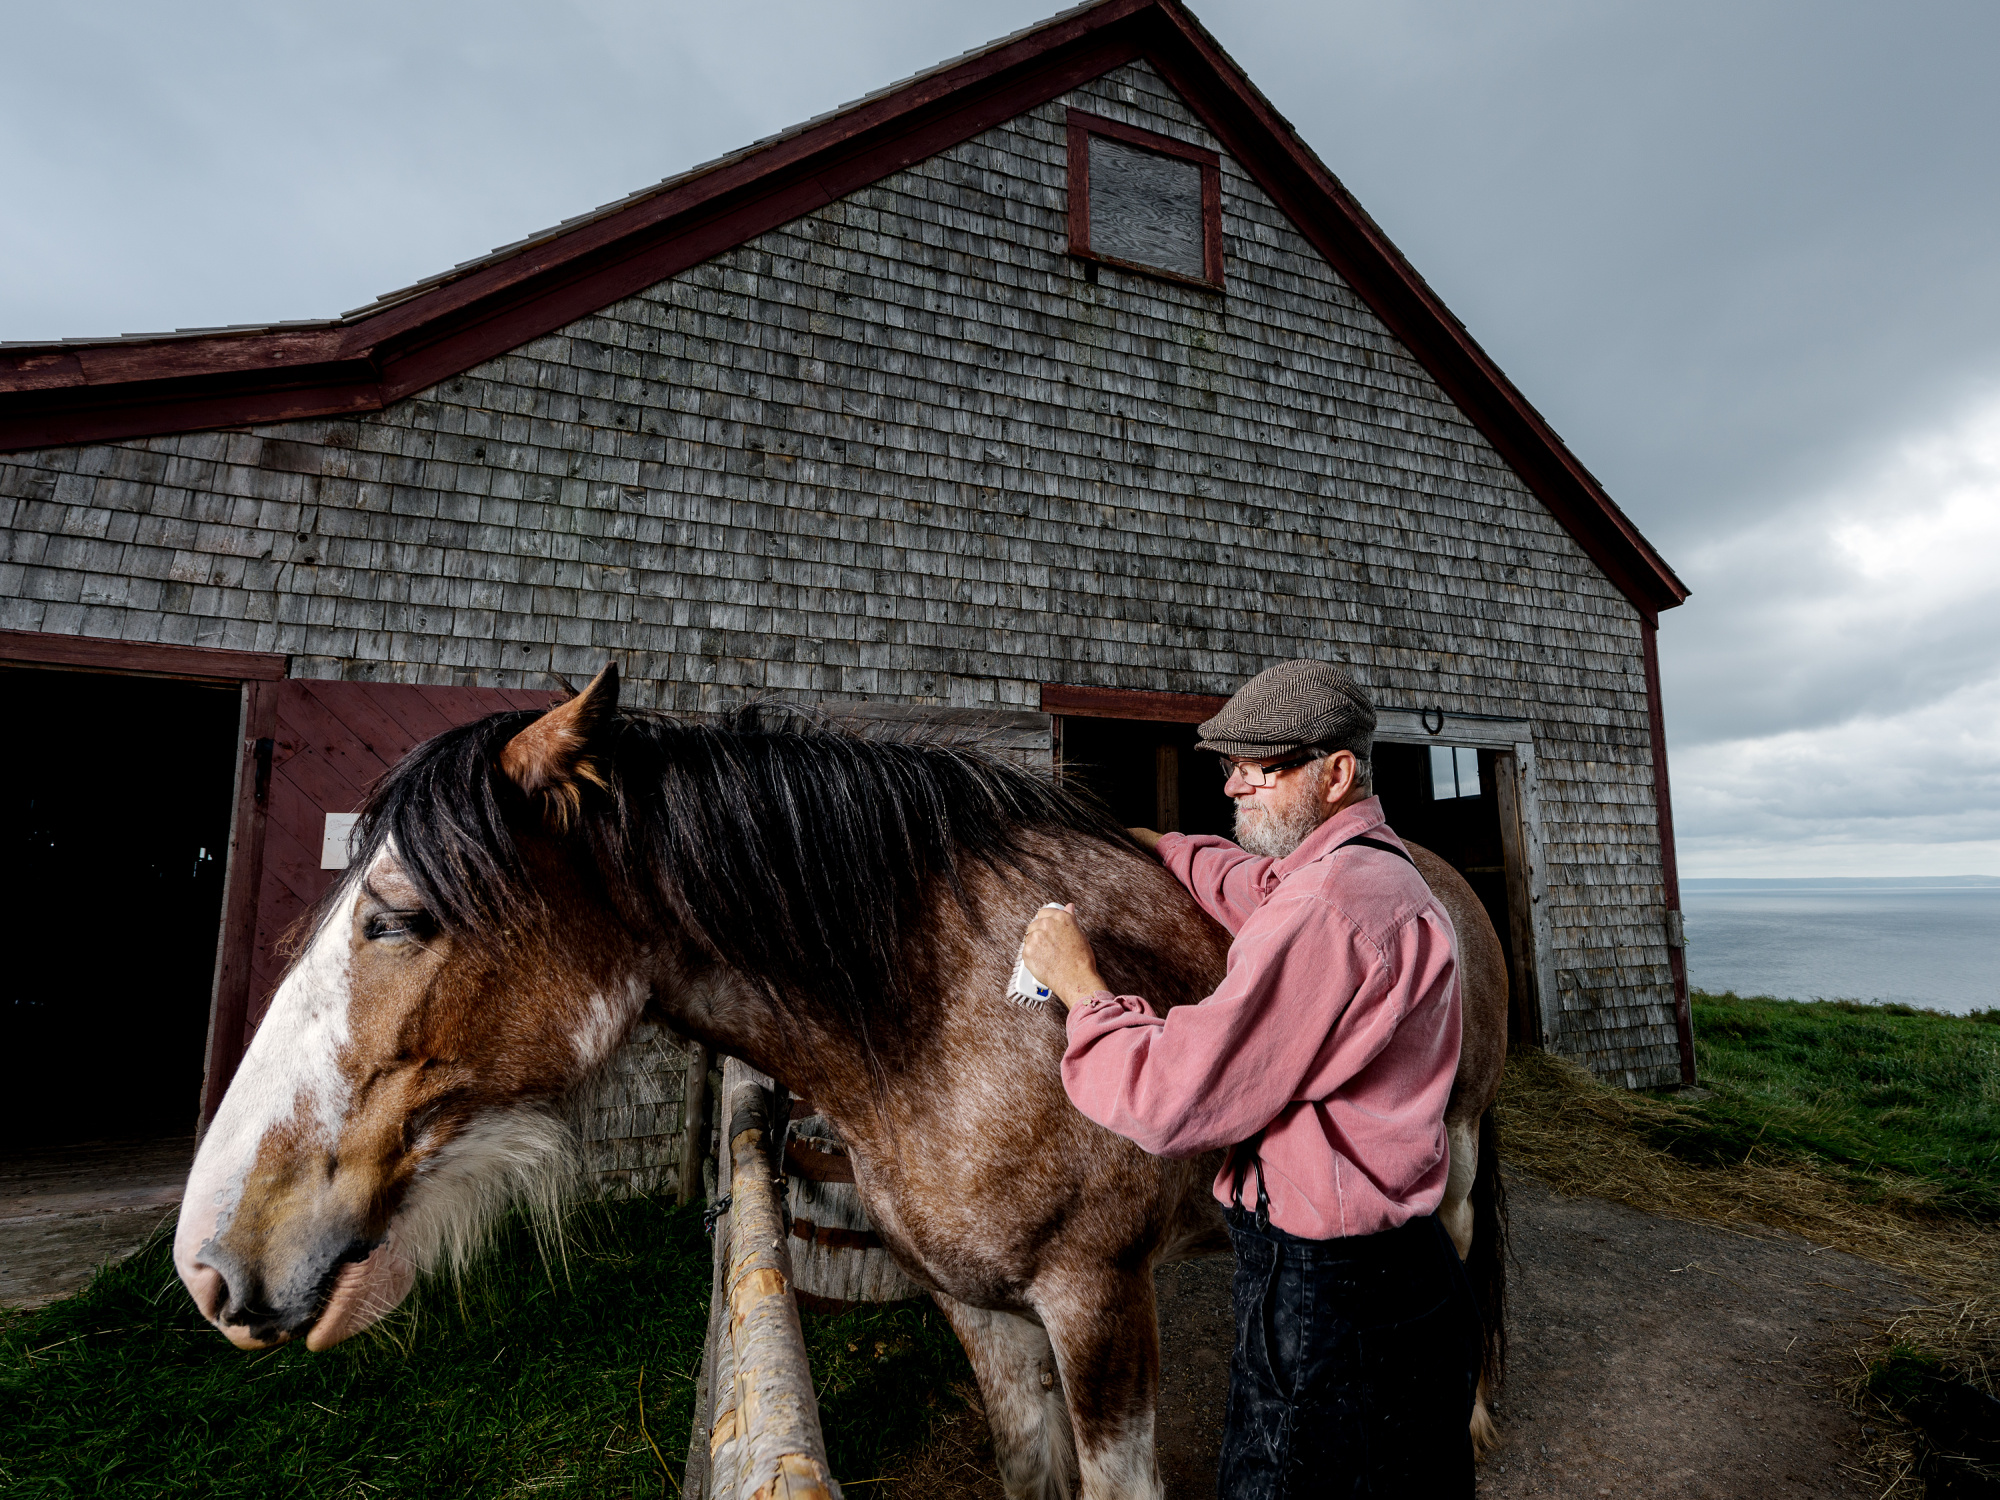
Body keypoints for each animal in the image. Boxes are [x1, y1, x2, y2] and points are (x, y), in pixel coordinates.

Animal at [174, 667, 1508, 1499]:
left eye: (396, 918)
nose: (210, 1262)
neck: (953, 1015)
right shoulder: (978, 1307)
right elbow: (1028, 1469)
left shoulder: (1095, 1307)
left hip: (1451, 1160)